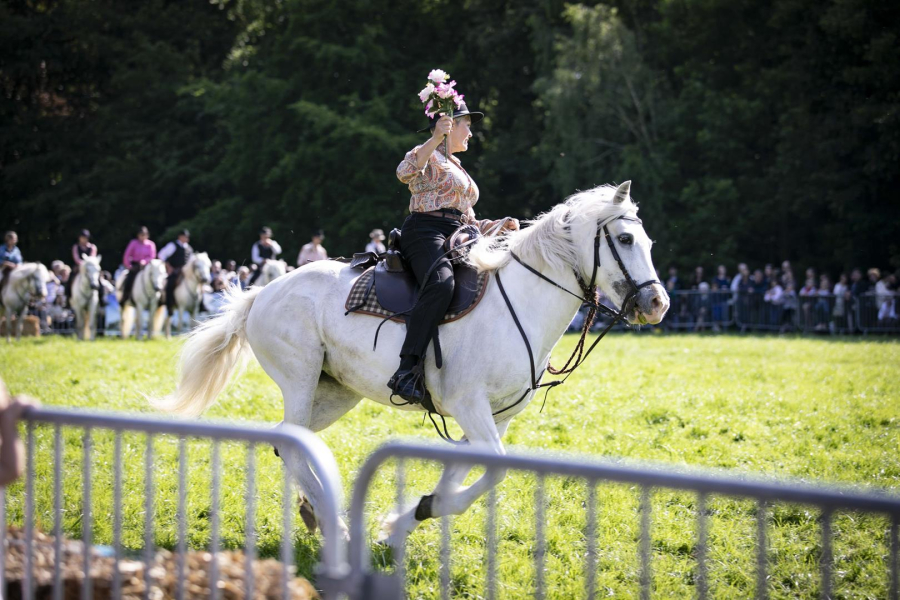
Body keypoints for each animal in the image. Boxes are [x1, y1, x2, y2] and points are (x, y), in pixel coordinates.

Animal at [156, 183, 668, 544]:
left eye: (648, 239)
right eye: (625, 238)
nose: (657, 303)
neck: (520, 303)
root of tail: (262, 293)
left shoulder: (496, 416)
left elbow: (462, 473)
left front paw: (407, 520)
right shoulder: (470, 407)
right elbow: (495, 470)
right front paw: (414, 514)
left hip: (335, 392)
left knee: (290, 442)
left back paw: (314, 513)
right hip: (299, 378)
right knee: (292, 442)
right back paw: (336, 527)